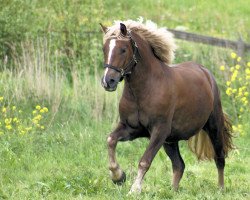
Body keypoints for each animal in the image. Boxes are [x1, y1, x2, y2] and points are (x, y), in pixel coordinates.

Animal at [99, 20, 232, 194]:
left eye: (123, 49)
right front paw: (118, 176)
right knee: (179, 165)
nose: (108, 81)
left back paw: (221, 189)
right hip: (170, 140)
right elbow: (110, 140)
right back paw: (172, 191)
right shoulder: (132, 128)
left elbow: (145, 160)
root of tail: (206, 73)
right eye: (105, 48)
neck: (145, 89)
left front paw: (134, 190)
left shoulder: (159, 130)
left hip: (213, 127)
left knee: (219, 158)